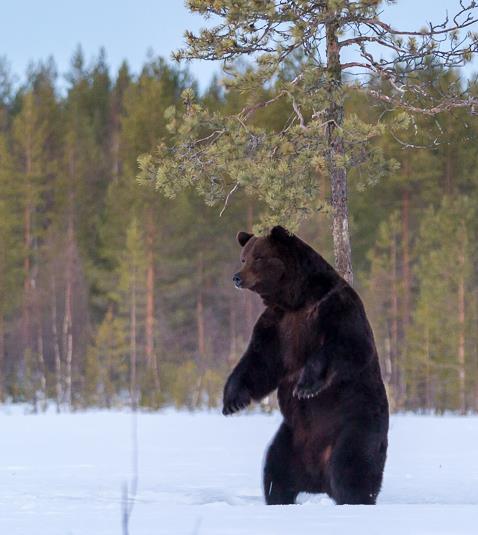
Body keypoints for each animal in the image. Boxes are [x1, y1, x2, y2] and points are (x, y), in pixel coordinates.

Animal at [224, 225, 388, 506]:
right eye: (244, 257)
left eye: (259, 257)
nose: (237, 277)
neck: (296, 299)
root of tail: (319, 479)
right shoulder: (278, 325)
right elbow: (259, 362)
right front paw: (232, 400)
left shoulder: (335, 307)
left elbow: (348, 346)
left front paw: (305, 385)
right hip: (293, 437)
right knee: (275, 469)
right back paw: (279, 498)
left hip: (356, 425)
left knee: (352, 467)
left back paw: (354, 498)